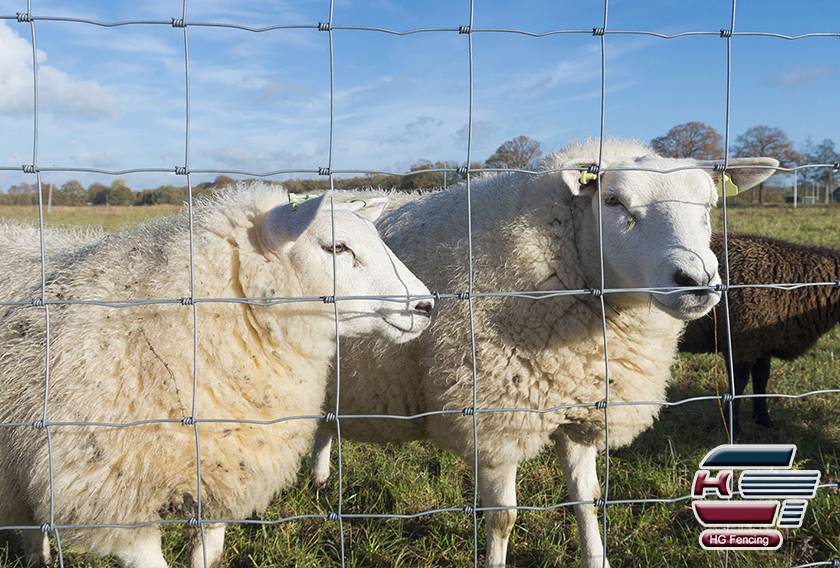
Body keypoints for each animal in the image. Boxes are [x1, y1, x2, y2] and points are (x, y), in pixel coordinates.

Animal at [310, 141, 780, 568]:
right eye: (613, 201)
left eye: (710, 205)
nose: (697, 280)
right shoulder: (495, 421)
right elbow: (502, 519)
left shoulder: (582, 410)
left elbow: (588, 500)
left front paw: (596, 558)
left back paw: (319, 478)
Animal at [680, 233, 836, 438]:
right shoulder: (740, 344)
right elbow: (738, 385)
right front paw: (733, 428)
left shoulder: (762, 343)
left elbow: (762, 379)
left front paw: (763, 420)